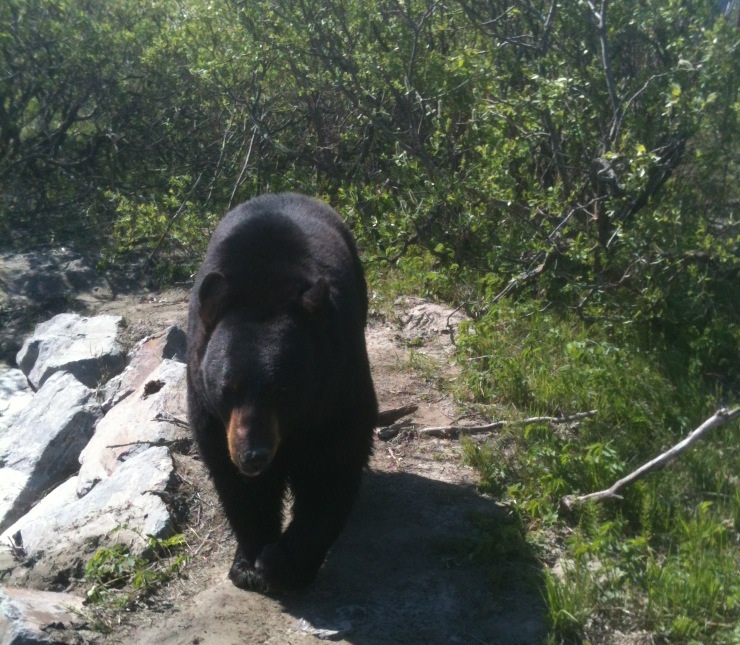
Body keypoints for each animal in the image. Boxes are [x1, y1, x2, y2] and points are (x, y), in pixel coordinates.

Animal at [186, 193, 378, 594]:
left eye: (284, 389)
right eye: (227, 388)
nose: (254, 455)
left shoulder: (337, 384)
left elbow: (332, 466)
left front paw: (285, 564)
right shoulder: (206, 405)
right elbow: (236, 483)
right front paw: (248, 562)